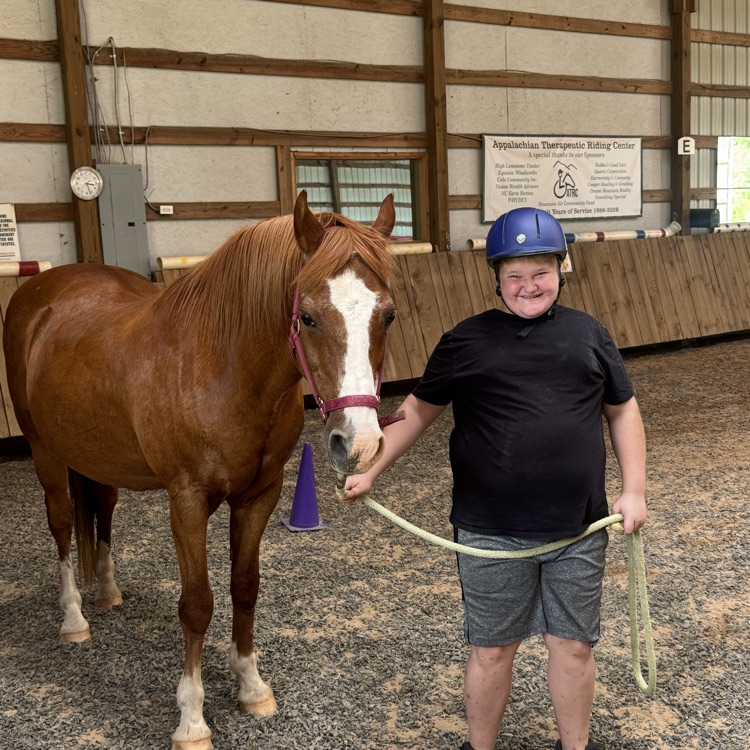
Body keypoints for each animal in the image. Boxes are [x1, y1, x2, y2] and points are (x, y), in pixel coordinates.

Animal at [2, 191, 397, 750]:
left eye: (389, 316)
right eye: (308, 317)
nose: (359, 443)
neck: (225, 366)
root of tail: (41, 292)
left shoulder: (260, 495)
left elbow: (245, 586)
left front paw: (252, 686)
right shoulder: (186, 500)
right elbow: (197, 603)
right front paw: (191, 719)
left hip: (98, 458)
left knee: (102, 510)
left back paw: (106, 592)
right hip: (46, 453)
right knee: (60, 526)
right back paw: (74, 617)